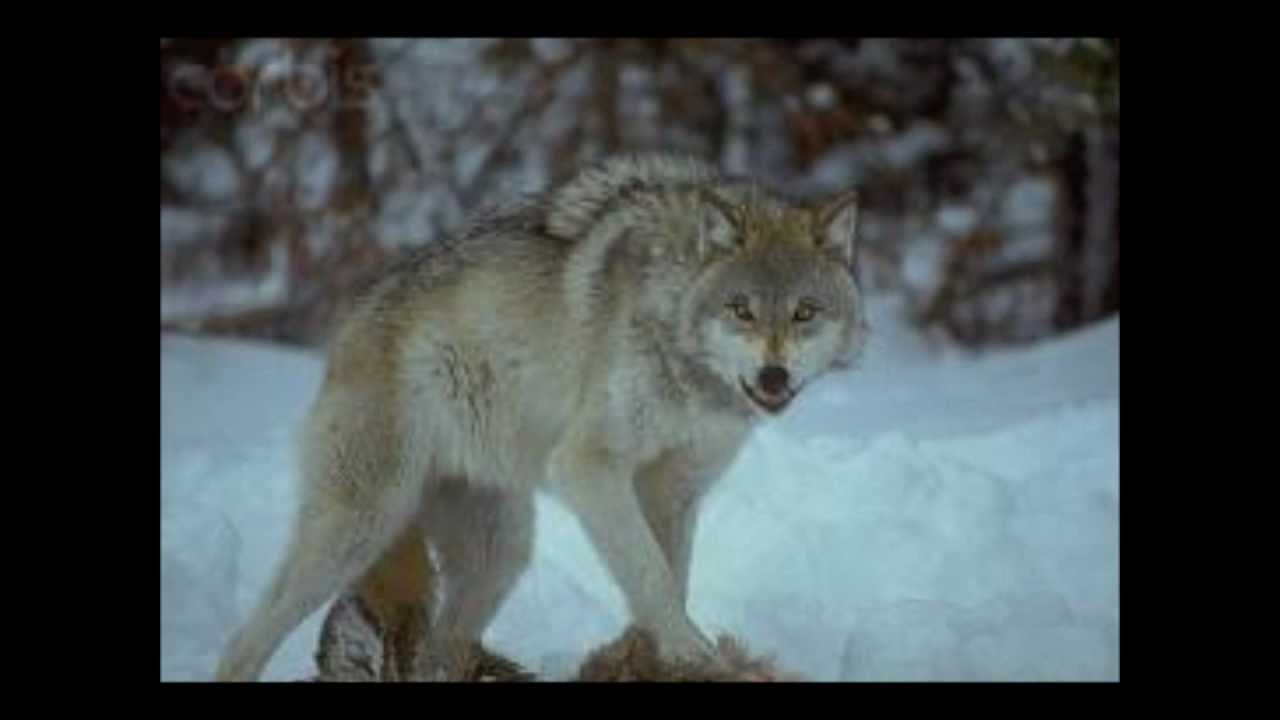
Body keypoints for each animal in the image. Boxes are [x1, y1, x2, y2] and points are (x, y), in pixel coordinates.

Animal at [214, 153, 867, 681]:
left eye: (805, 312)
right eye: (741, 310)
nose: (773, 377)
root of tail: (350, 319)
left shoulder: (674, 490)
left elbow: (669, 577)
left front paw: (650, 657)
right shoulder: (589, 467)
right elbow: (652, 577)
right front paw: (691, 653)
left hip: (498, 555)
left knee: (436, 655)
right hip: (357, 529)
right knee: (244, 641)